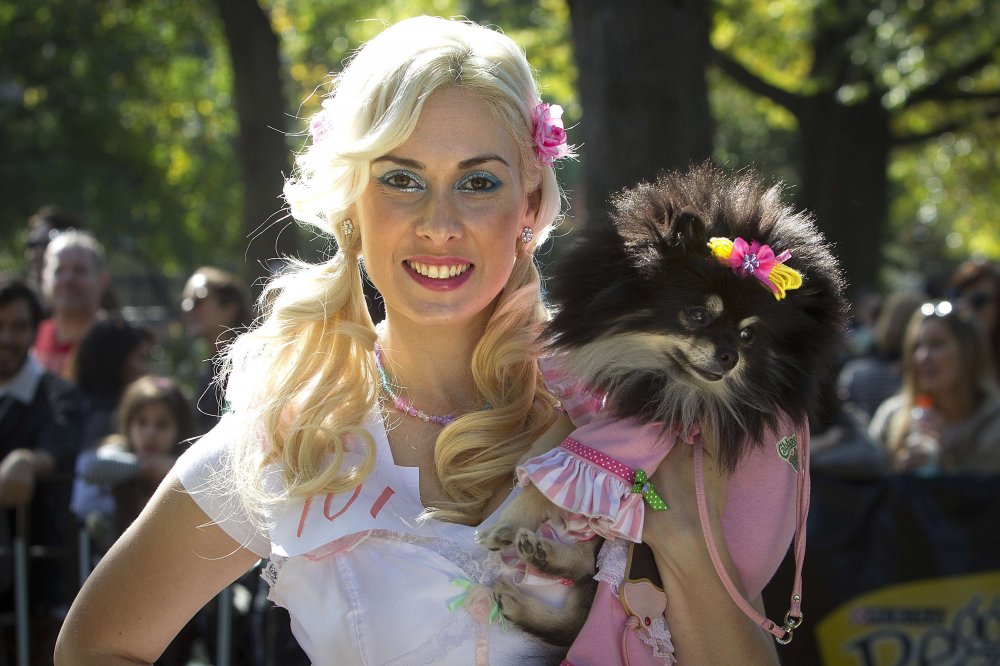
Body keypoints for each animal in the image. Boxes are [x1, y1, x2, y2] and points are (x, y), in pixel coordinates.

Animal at [476, 161, 844, 644]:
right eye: (697, 315)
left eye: (749, 335)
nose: (730, 355)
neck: (653, 371)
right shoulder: (587, 409)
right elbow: (549, 455)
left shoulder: (635, 434)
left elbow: (554, 479)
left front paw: (503, 522)